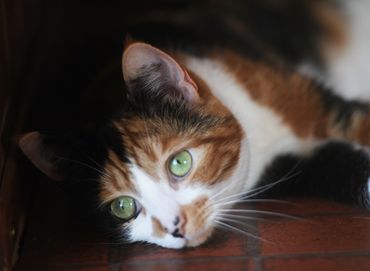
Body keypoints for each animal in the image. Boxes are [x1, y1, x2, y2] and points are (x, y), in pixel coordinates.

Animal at [18, 0, 370, 250]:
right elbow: (334, 168)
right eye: (123, 206)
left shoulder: (313, 102)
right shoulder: (286, 167)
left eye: (179, 163)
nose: (175, 226)